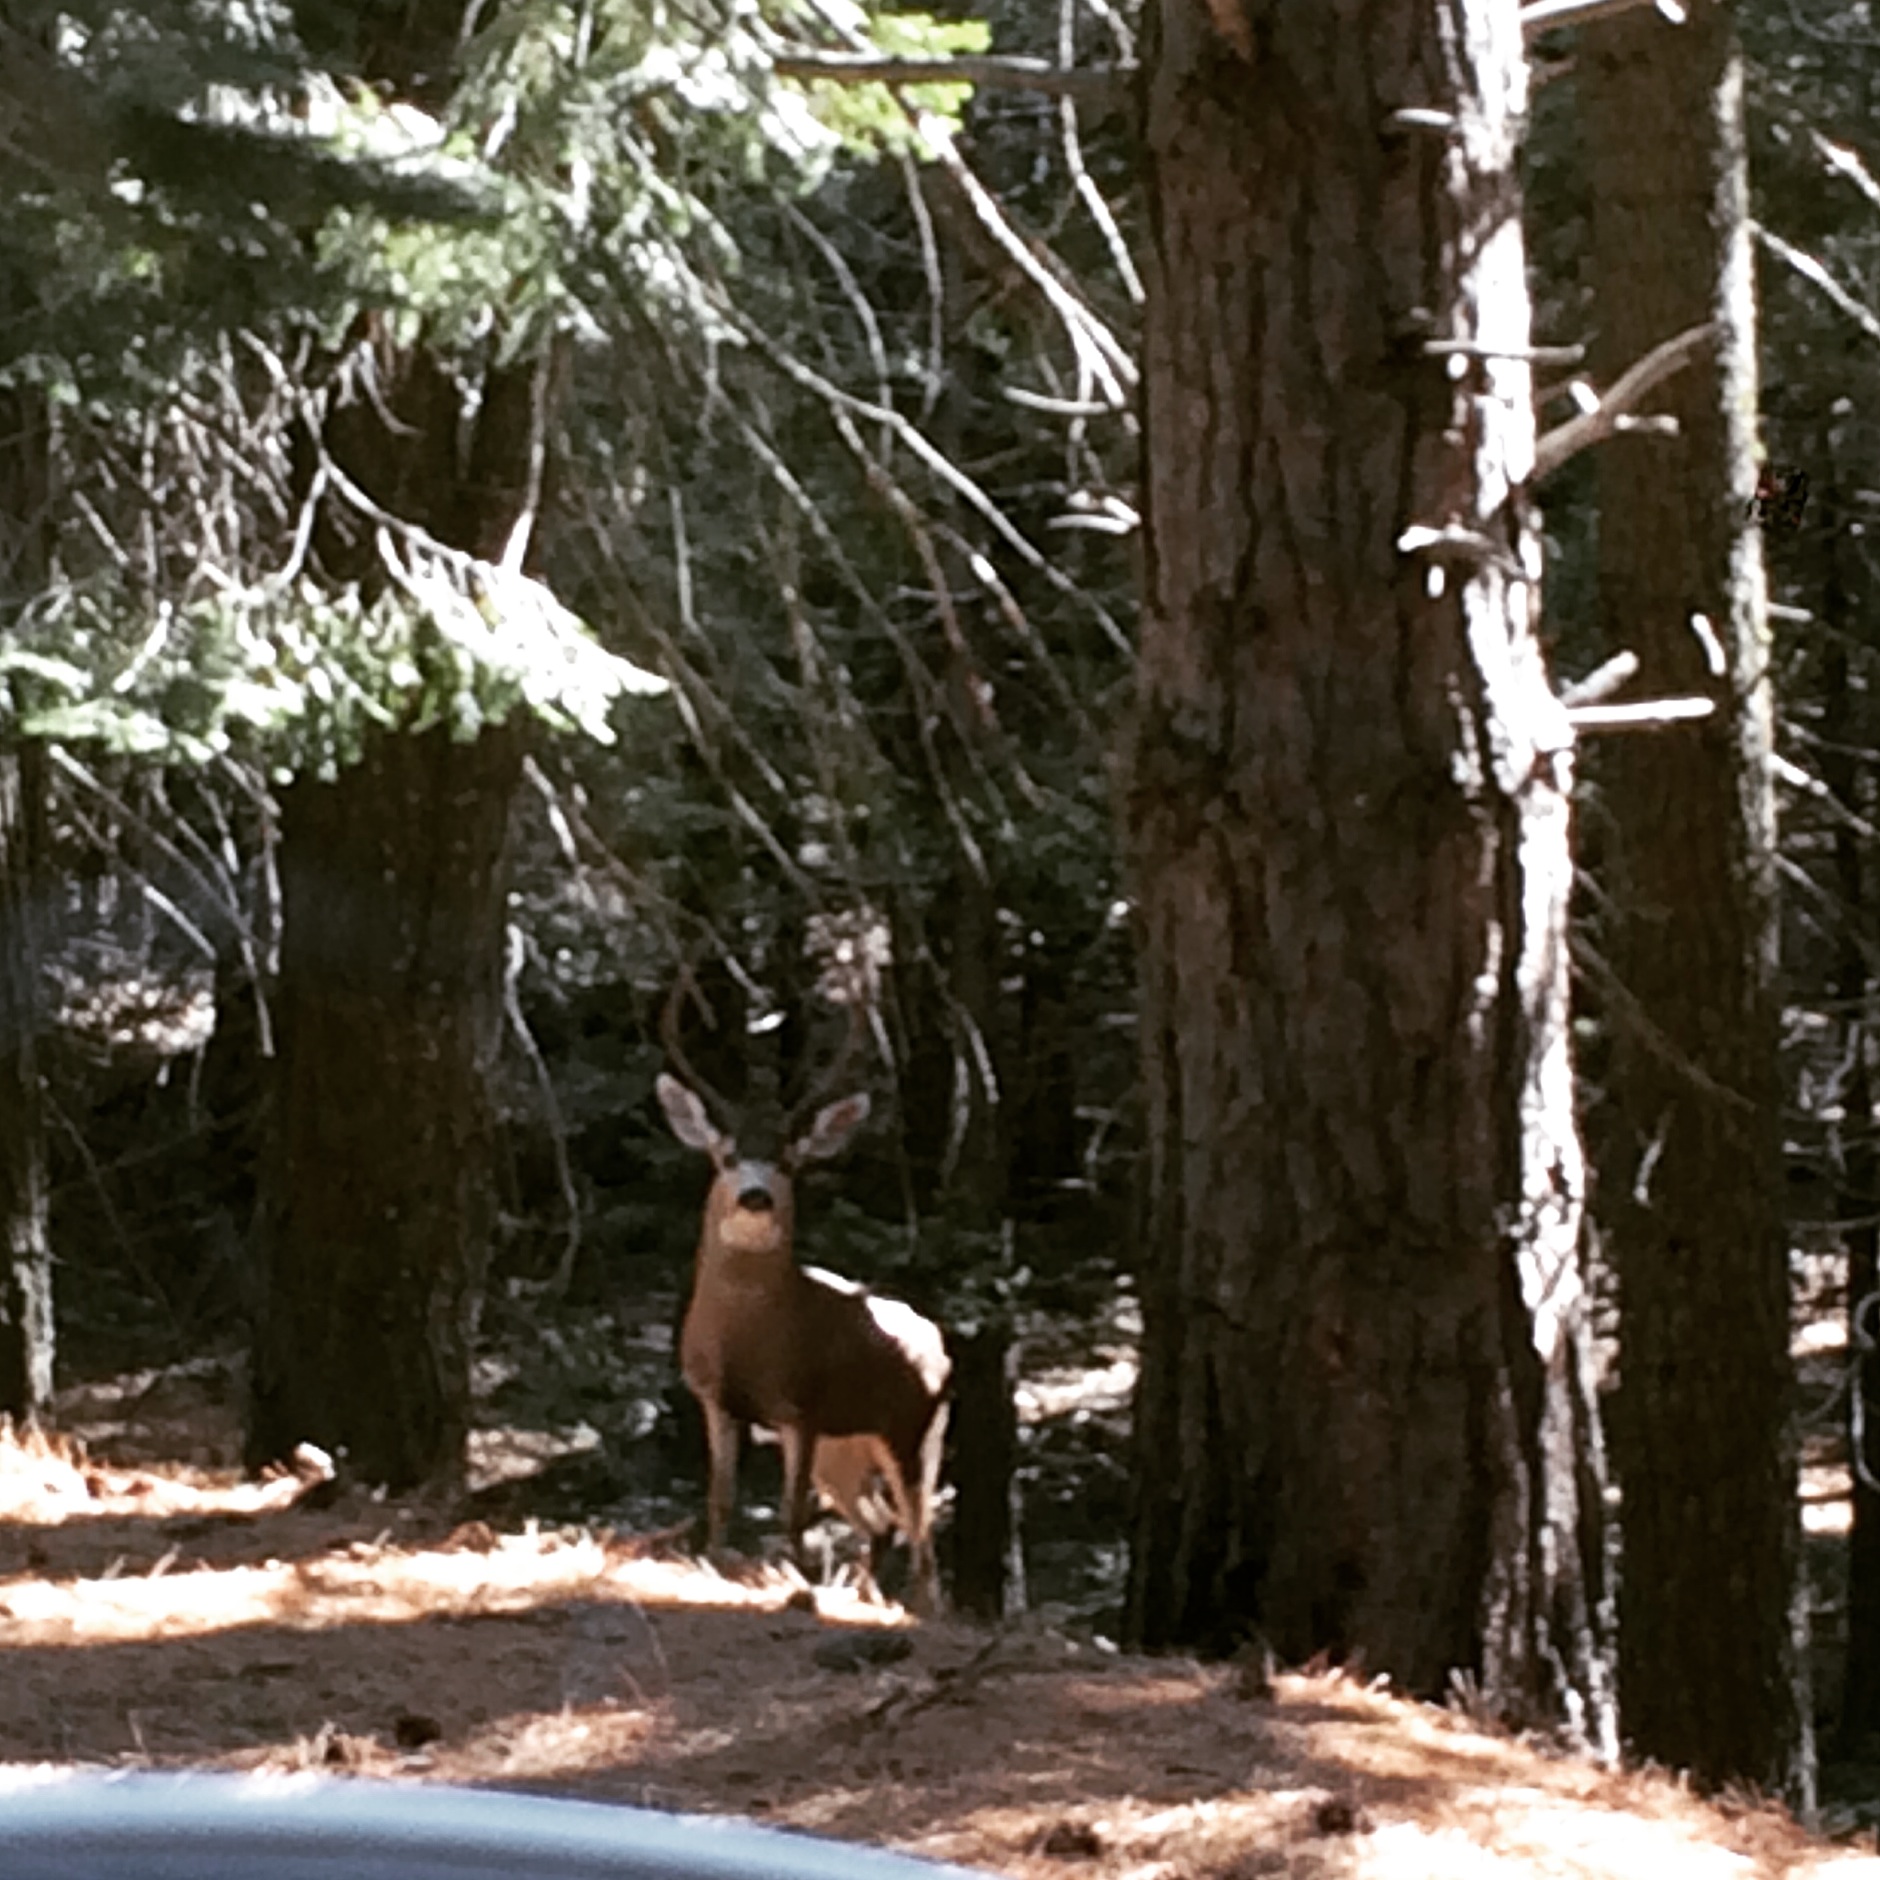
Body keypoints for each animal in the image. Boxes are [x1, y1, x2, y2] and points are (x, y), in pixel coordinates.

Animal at [661, 977, 955, 1609]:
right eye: (726, 1155)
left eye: (789, 1162)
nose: (755, 1196)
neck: (751, 1338)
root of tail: (939, 1343)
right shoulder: (715, 1399)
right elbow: (720, 1501)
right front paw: (716, 1560)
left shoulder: (804, 1408)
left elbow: (790, 1515)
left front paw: (792, 1580)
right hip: (844, 1453)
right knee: (882, 1524)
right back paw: (868, 1594)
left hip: (914, 1432)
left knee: (922, 1540)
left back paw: (916, 1606)